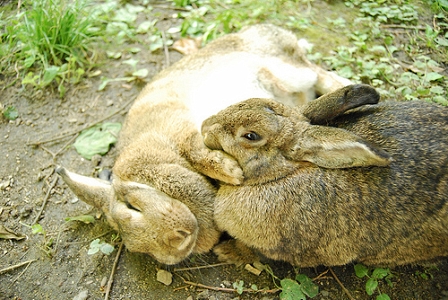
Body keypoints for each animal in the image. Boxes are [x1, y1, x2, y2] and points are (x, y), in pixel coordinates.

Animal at [56, 24, 352, 264]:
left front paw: (231, 172)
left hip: (290, 69)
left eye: (132, 206)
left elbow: (197, 149)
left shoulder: (182, 129)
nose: (177, 244)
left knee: (320, 73)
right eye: (138, 250)